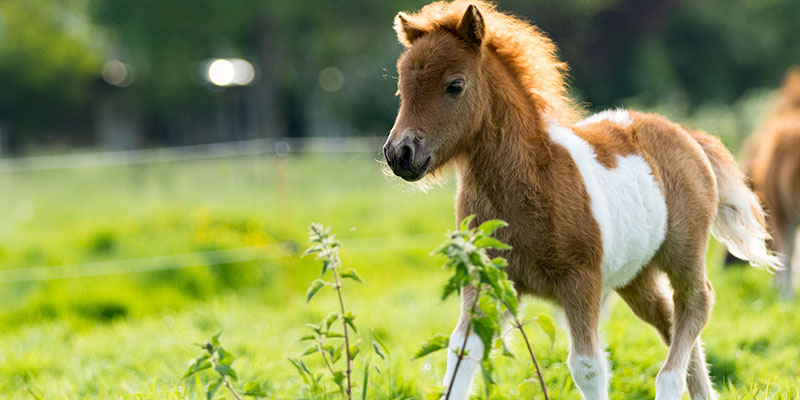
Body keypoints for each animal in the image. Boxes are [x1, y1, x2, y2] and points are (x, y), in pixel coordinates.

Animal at [382, 1, 780, 398]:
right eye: (402, 87)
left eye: (455, 86)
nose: (399, 153)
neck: (531, 182)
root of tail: (687, 134)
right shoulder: (487, 278)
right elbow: (462, 351)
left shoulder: (581, 281)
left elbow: (587, 367)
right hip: (635, 275)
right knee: (670, 317)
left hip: (683, 251)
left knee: (696, 303)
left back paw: (668, 382)